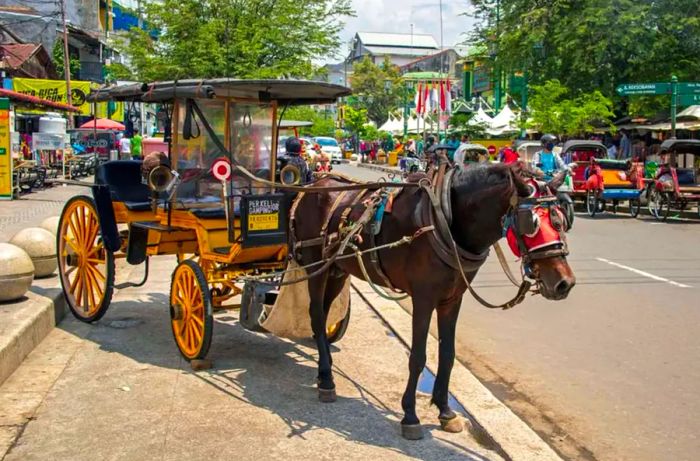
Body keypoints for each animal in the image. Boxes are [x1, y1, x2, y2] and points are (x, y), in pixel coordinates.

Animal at [290, 162, 576, 438]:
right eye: (531, 224)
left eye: (562, 221)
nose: (565, 283)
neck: (446, 223)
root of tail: (314, 185)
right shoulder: (424, 298)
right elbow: (418, 356)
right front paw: (410, 415)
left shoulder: (452, 299)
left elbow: (447, 354)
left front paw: (445, 410)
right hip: (317, 266)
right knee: (316, 315)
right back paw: (327, 378)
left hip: (337, 268)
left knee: (325, 312)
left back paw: (324, 367)